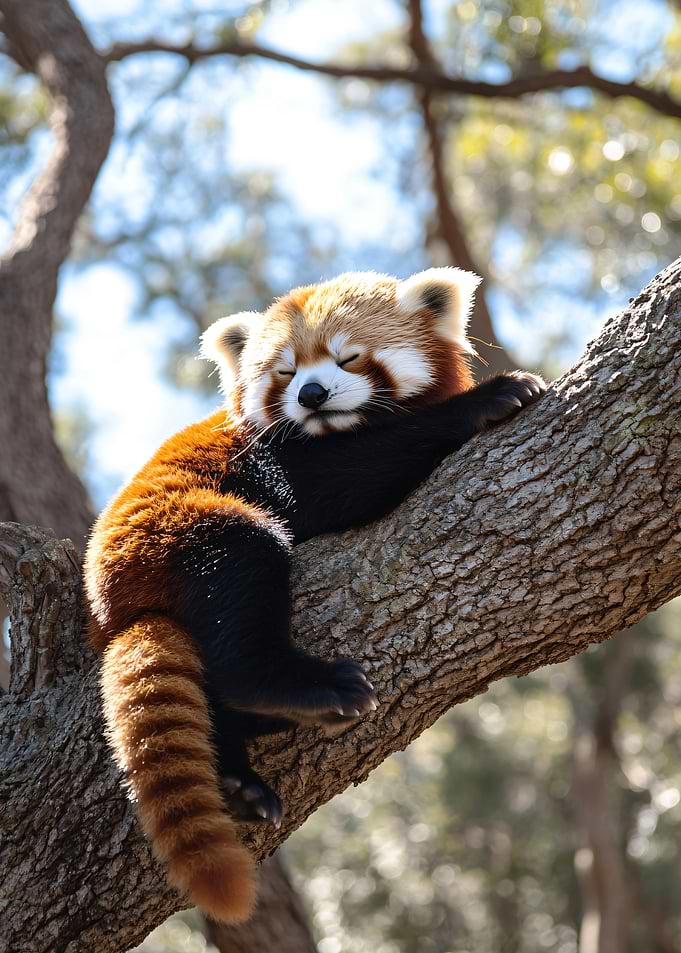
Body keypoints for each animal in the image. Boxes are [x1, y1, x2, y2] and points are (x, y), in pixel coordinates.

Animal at [84, 267, 545, 922]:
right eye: (284, 371)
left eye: (348, 356)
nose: (311, 395)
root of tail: (115, 605)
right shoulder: (272, 460)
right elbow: (345, 479)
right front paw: (492, 398)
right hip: (184, 529)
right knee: (242, 568)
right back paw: (306, 689)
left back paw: (238, 781)